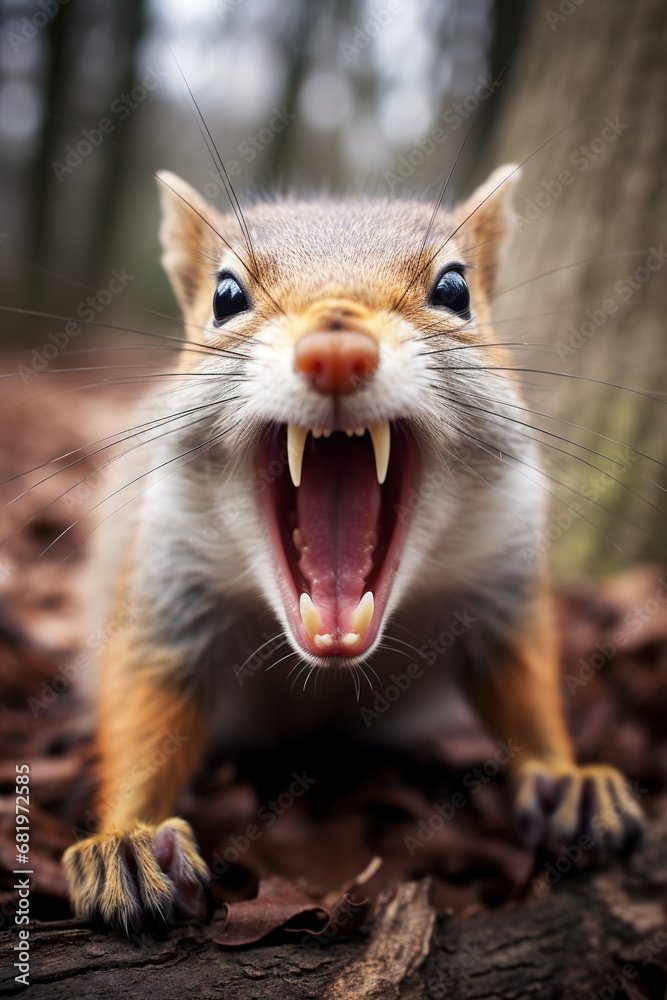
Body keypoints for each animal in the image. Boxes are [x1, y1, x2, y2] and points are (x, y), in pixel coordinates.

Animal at [62, 164, 644, 930]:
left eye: (455, 290)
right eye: (224, 297)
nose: (336, 353)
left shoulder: (503, 570)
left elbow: (520, 683)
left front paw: (566, 778)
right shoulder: (171, 581)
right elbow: (149, 703)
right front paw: (125, 840)